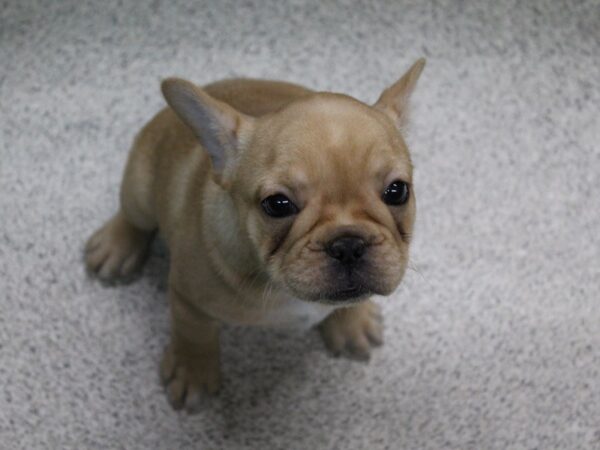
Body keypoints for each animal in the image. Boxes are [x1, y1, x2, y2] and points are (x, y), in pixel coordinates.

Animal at [84, 58, 424, 410]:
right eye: (277, 205)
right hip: (140, 188)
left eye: (398, 191)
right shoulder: (188, 298)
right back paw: (116, 246)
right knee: (133, 216)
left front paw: (351, 323)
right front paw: (192, 371)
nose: (347, 244)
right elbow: (193, 333)